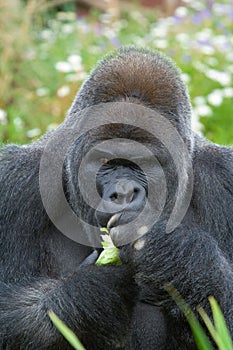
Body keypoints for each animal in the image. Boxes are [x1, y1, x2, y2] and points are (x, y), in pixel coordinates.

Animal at [0, 46, 233, 350]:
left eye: (146, 163)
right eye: (104, 161)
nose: (123, 192)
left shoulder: (225, 179)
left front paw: (176, 255)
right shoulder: (13, 184)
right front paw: (88, 295)